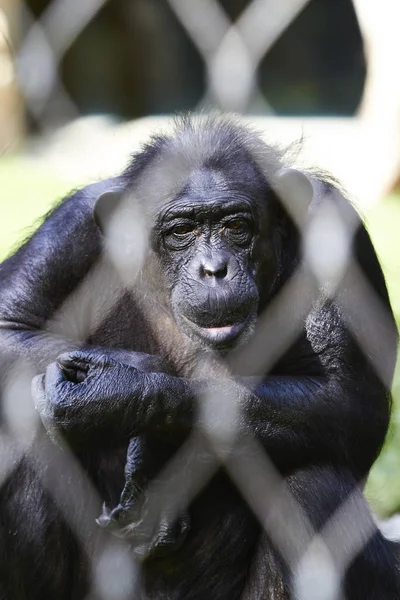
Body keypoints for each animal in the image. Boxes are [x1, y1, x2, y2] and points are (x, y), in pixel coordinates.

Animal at [0, 115, 400, 596]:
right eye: (181, 231)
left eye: (235, 226)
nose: (214, 270)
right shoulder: (70, 228)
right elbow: (10, 326)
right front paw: (132, 377)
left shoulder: (334, 229)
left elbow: (351, 400)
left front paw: (125, 392)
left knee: (314, 485)